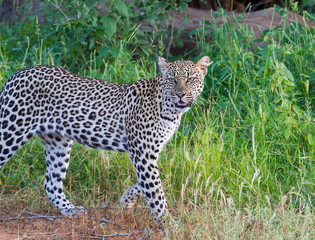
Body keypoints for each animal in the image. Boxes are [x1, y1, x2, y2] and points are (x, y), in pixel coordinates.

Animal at [0, 56, 212, 221]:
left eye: (191, 79)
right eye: (172, 79)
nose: (180, 94)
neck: (169, 110)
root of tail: (16, 75)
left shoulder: (150, 153)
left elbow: (149, 182)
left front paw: (125, 203)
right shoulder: (143, 154)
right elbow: (155, 191)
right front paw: (167, 223)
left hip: (57, 142)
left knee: (51, 184)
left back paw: (71, 211)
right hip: (10, 130)